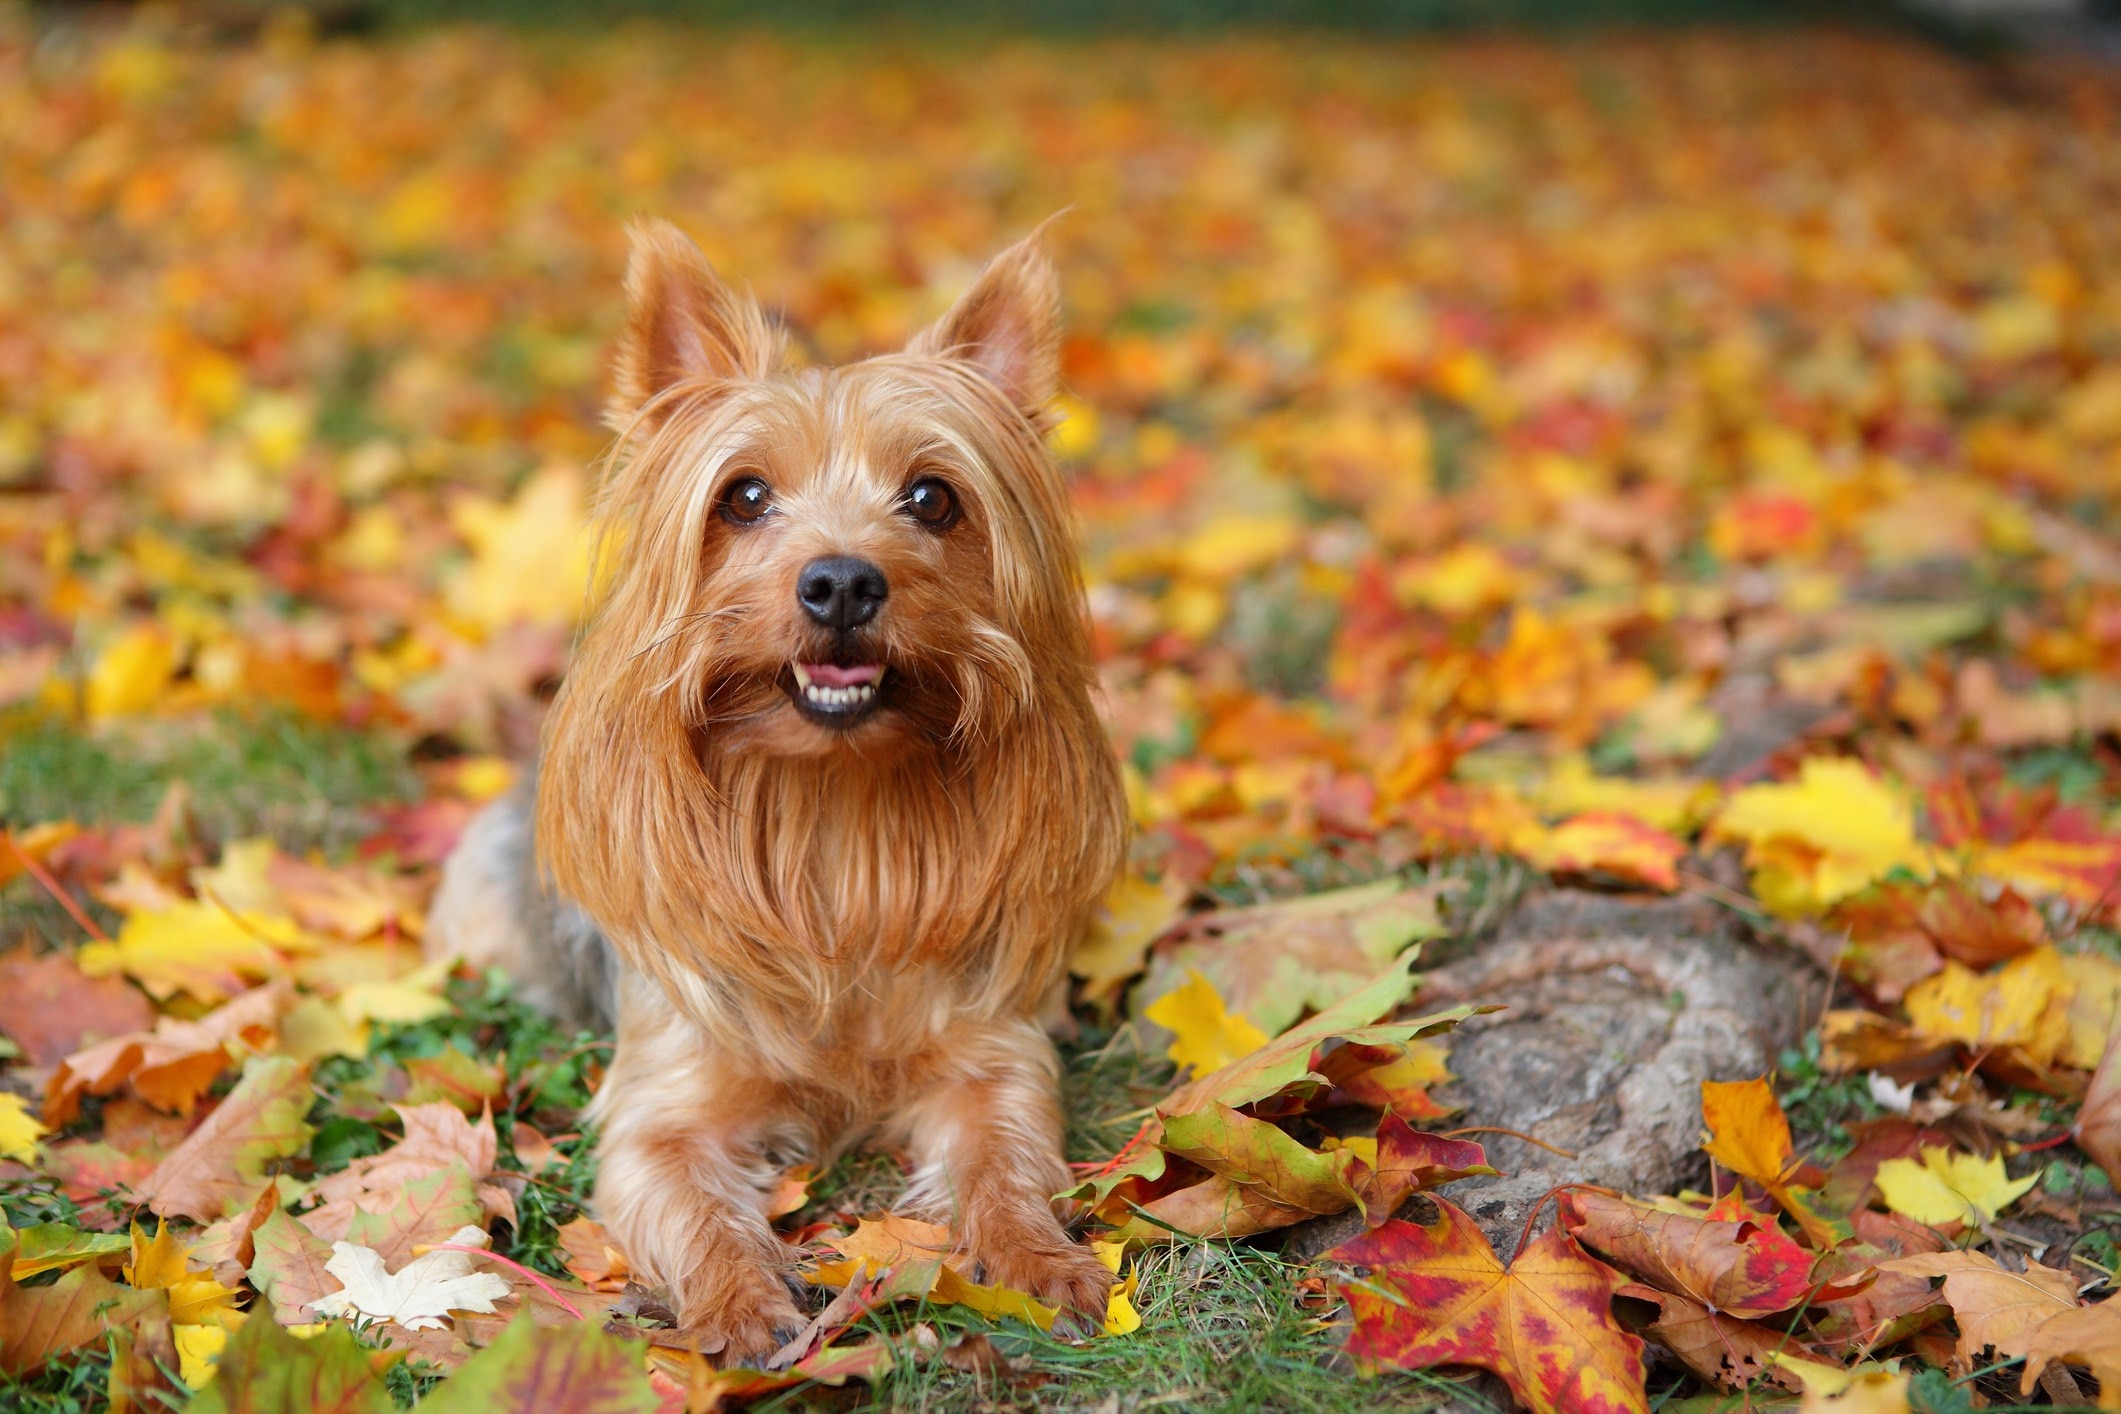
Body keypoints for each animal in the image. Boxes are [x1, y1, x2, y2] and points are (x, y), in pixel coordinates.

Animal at [419, 221, 1136, 1356]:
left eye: (933, 498)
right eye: (744, 496)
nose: (841, 580)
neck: (829, 809)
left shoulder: (990, 1056)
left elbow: (1006, 1157)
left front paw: (1041, 1259)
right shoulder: (662, 1104)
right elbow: (690, 1202)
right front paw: (740, 1305)